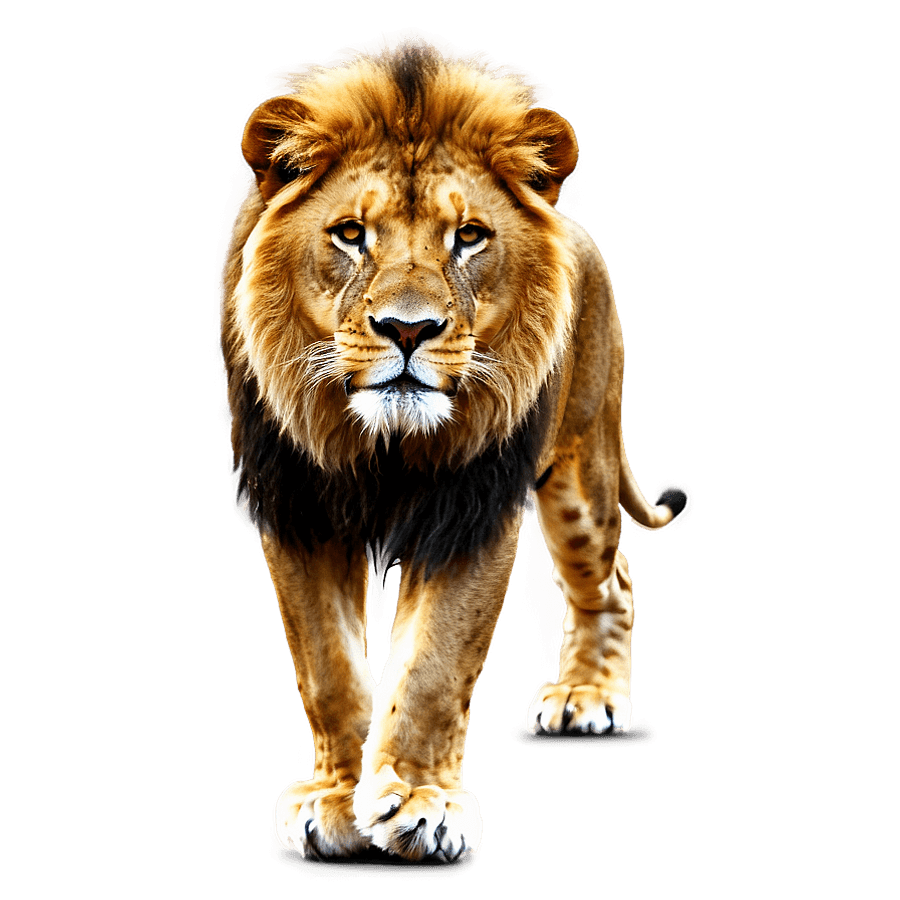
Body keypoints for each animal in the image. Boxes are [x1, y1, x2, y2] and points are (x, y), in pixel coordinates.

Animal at [215, 28, 691, 862]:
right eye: (350, 234)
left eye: (468, 237)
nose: (408, 330)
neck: (382, 444)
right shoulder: (298, 507)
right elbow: (327, 668)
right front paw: (339, 799)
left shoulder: (473, 510)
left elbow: (435, 667)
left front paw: (418, 804)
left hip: (580, 464)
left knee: (612, 578)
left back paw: (587, 697)